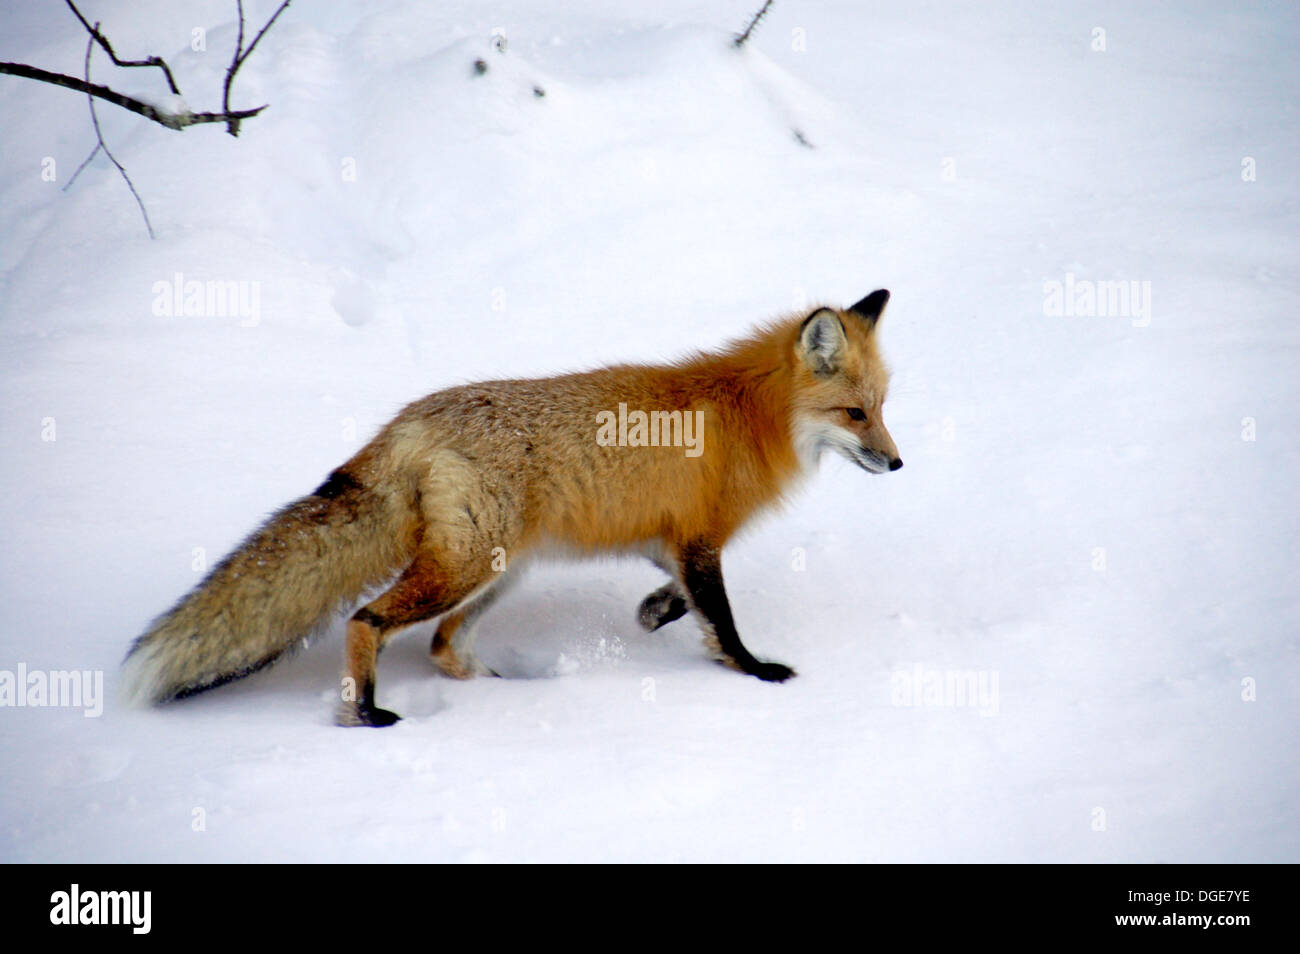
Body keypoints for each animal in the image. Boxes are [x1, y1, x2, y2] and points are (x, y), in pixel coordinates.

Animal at [123, 290, 902, 726]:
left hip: (503, 571)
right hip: (466, 568)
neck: (746, 414)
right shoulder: (700, 540)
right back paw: (366, 712)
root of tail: (411, 419)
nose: (898, 463)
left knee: (442, 647)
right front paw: (754, 672)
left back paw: (501, 693)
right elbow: (723, 620)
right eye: (856, 413)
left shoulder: (670, 540)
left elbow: (682, 598)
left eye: (884, 407)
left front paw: (652, 614)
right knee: (368, 620)